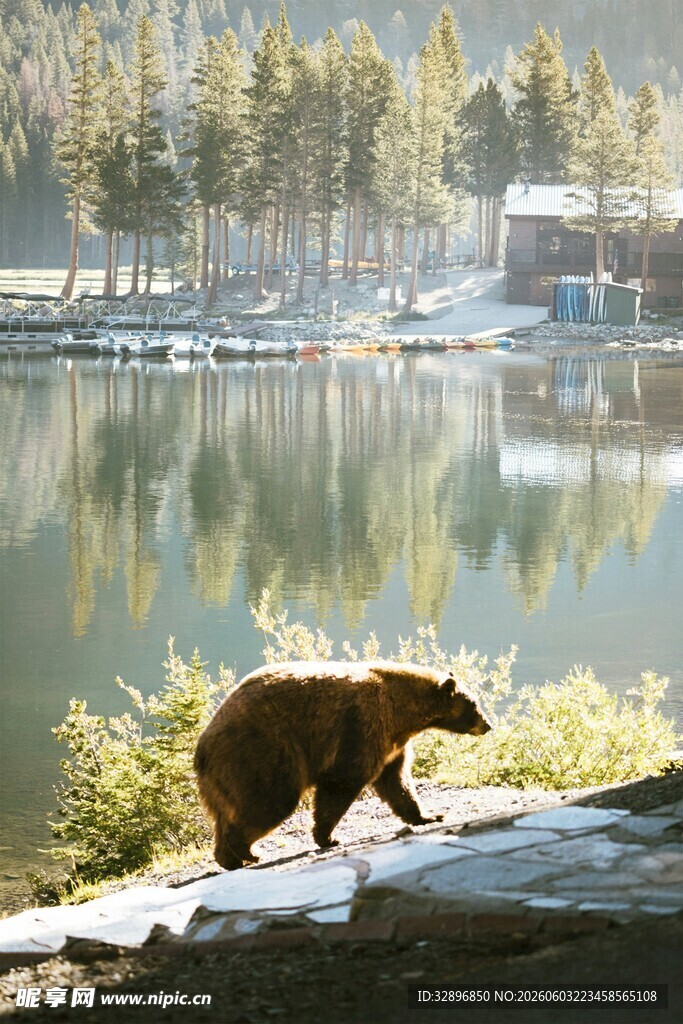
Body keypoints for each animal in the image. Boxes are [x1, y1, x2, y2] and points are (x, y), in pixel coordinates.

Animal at [194, 660, 491, 870]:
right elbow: (344, 780)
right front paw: (328, 836)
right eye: (474, 704)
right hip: (263, 752)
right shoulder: (362, 725)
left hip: (226, 776)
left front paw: (429, 815)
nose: (488, 725)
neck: (403, 713)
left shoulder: (392, 744)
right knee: (272, 801)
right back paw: (247, 851)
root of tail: (203, 750)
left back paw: (229, 858)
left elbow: (397, 782)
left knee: (226, 813)